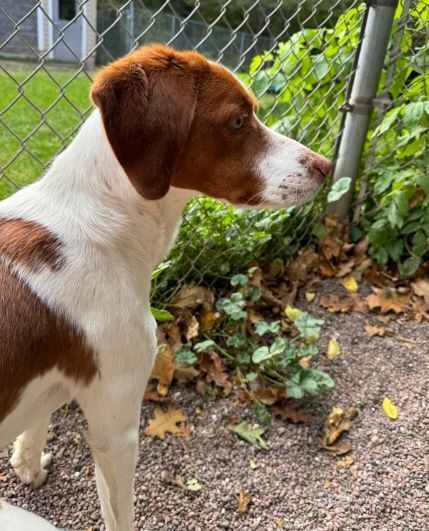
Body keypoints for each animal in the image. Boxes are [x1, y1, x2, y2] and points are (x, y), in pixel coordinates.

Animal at [0, 46, 330, 531]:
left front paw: (29, 468)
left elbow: (34, 425)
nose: (326, 166)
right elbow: (120, 514)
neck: (102, 222)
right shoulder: (115, 431)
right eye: (238, 121)